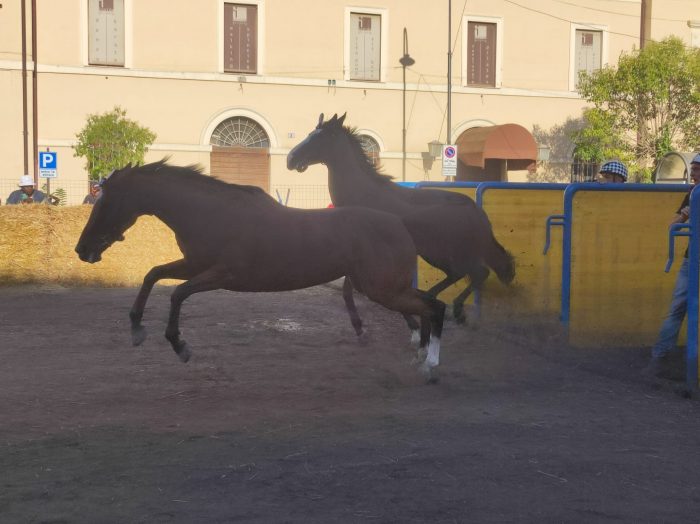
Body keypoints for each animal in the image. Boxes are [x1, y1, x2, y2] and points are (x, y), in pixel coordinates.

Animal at [74, 160, 446, 381]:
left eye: (105, 200)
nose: (82, 249)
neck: (210, 214)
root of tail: (400, 223)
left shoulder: (223, 274)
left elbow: (178, 294)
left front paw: (180, 345)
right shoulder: (195, 264)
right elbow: (153, 274)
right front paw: (137, 328)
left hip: (382, 288)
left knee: (434, 307)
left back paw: (430, 363)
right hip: (386, 286)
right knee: (429, 306)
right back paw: (422, 358)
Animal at [287, 113, 515, 336]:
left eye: (320, 137)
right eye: (310, 133)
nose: (290, 159)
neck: (364, 195)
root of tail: (475, 210)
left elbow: (361, 290)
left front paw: (403, 323)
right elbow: (351, 290)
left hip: (441, 251)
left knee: (476, 272)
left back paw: (455, 310)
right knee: (463, 274)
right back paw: (433, 300)